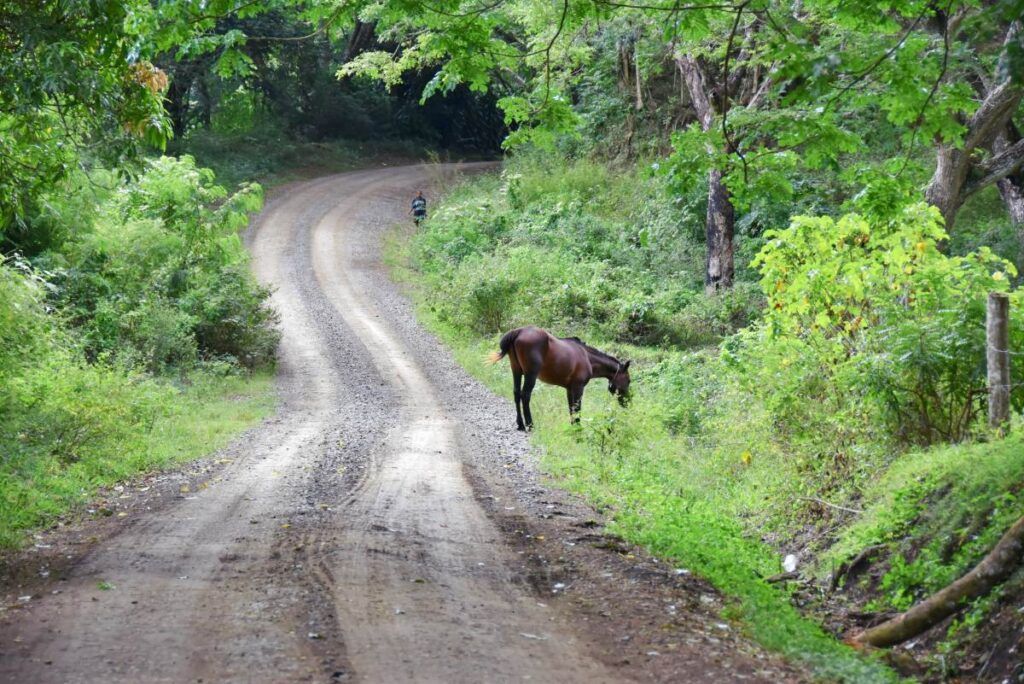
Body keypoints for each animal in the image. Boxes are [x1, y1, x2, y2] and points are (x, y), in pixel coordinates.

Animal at [488, 326, 631, 430]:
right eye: (629, 381)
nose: (627, 402)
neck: (588, 358)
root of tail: (519, 331)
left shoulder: (569, 389)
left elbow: (571, 408)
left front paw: (573, 427)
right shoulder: (578, 388)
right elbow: (577, 408)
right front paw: (578, 429)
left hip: (516, 371)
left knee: (517, 394)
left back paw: (521, 424)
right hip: (530, 375)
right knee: (525, 395)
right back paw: (530, 424)